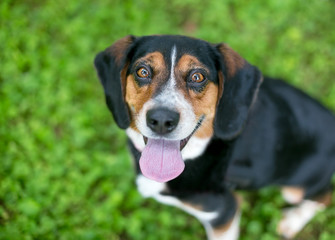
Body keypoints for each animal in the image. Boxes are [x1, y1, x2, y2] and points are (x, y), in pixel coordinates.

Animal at [94, 34, 335, 239]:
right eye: (142, 71)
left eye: (197, 76)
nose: (161, 120)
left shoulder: (223, 213)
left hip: (293, 189)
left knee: (325, 196)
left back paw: (292, 220)